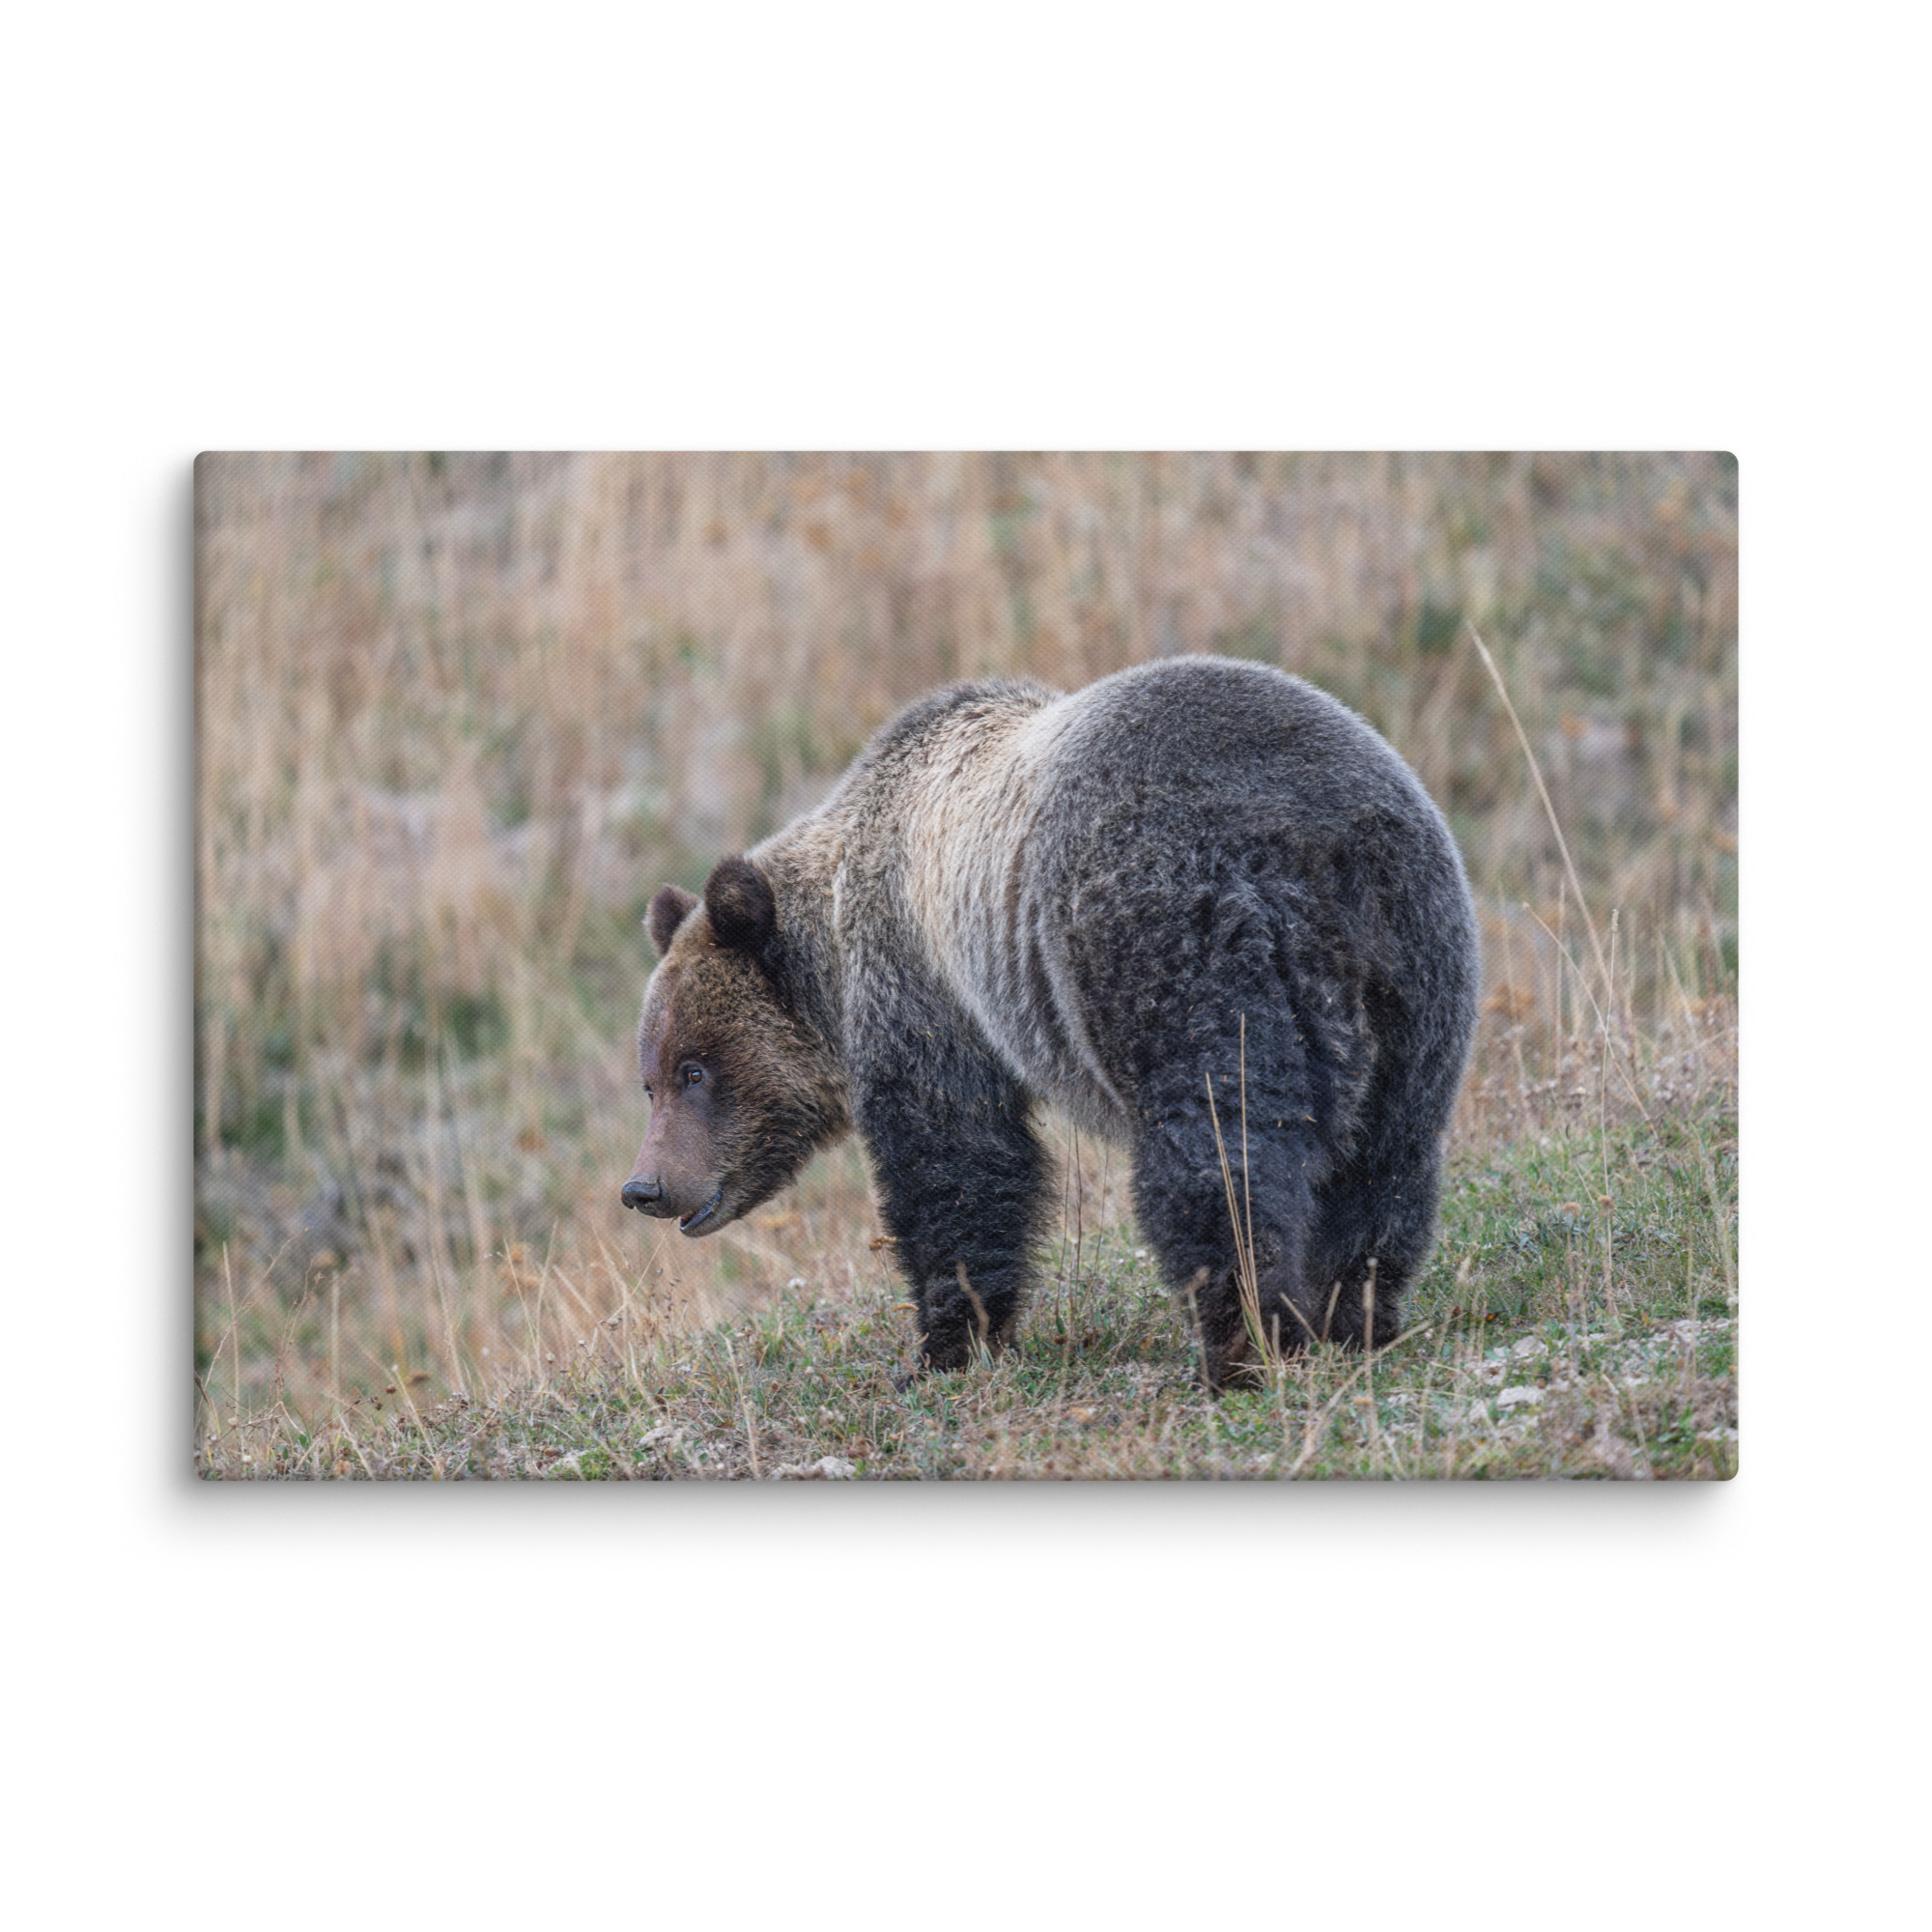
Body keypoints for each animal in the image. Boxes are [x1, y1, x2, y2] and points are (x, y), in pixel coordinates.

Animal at [621, 655, 1480, 1390]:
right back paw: (1353, 1316)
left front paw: (944, 1346)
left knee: (1218, 1153)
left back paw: (1241, 1346)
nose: (645, 1186)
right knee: (1386, 1158)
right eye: (650, 1079)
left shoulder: (925, 988)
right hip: (1416, 968)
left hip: (1173, 941)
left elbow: (957, 1163)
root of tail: (1313, 843)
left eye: (695, 1069)